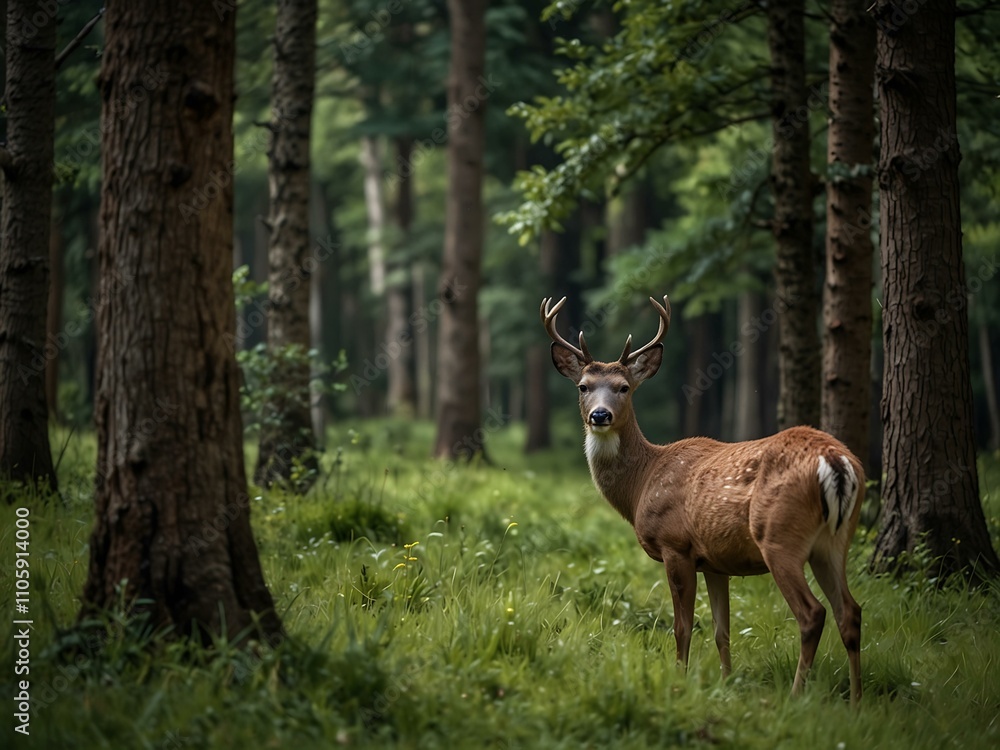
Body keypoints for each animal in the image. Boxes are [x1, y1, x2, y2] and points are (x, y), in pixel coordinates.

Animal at [542, 294, 863, 703]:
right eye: (583, 386)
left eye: (624, 387)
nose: (600, 415)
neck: (642, 482)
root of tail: (836, 461)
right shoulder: (714, 561)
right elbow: (720, 628)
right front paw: (726, 682)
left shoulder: (675, 545)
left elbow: (682, 625)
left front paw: (679, 679)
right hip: (834, 540)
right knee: (850, 611)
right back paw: (856, 701)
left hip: (779, 536)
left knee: (812, 614)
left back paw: (795, 695)